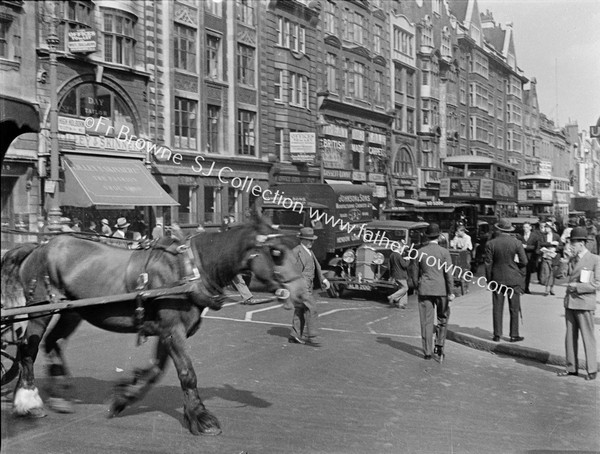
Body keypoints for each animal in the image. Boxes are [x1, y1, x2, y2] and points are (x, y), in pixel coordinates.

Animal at [1, 216, 304, 436]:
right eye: (276, 252)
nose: (302, 293)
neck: (190, 269)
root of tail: (39, 246)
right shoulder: (173, 330)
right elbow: (187, 373)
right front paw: (202, 418)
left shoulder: (166, 332)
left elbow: (157, 370)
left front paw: (124, 396)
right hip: (40, 308)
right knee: (28, 349)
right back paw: (28, 401)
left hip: (72, 311)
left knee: (51, 342)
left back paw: (59, 395)